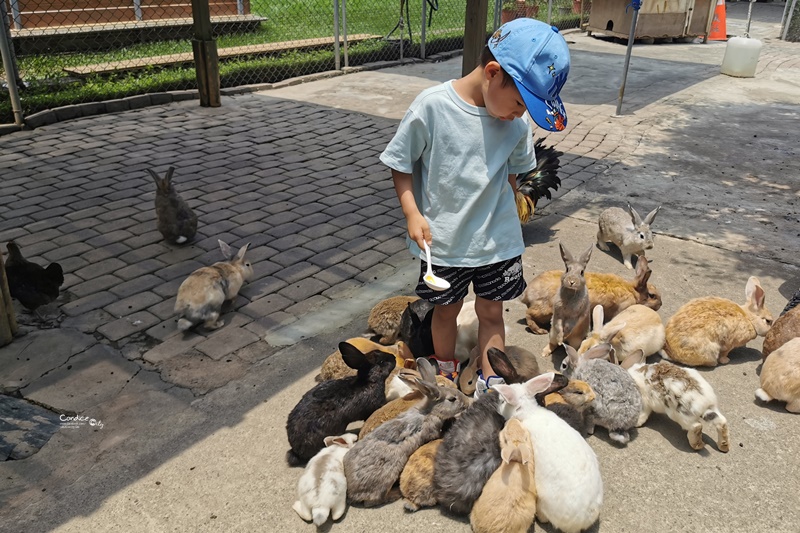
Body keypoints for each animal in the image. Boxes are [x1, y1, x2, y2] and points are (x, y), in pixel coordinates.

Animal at [520, 254, 660, 332]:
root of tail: (527, 294)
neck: (633, 291)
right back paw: (539, 330)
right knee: (529, 314)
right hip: (545, 310)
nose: (660, 304)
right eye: (652, 296)